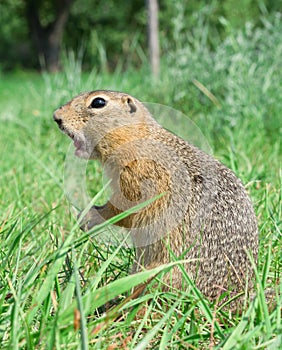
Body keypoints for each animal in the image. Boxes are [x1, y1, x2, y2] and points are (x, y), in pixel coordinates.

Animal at [54, 89, 258, 304]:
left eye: (98, 102)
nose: (56, 117)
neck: (136, 138)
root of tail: (235, 299)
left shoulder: (137, 181)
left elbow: (121, 211)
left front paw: (88, 216)